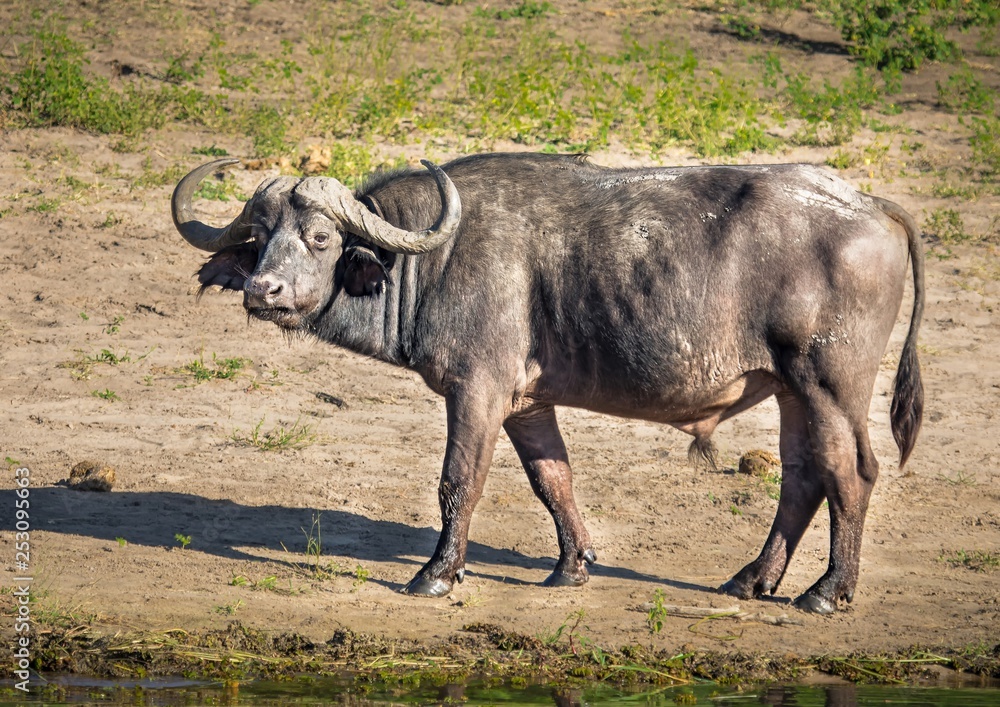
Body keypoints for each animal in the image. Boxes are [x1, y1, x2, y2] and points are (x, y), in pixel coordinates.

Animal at [170, 155, 920, 612]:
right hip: (791, 390)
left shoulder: (476, 389)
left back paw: (827, 590)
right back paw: (752, 578)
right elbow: (552, 479)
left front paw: (436, 573)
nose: (263, 291)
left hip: (830, 385)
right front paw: (572, 565)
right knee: (801, 478)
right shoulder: (526, 404)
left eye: (321, 237)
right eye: (260, 239)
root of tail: (871, 205)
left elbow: (458, 482)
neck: (432, 258)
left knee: (852, 473)